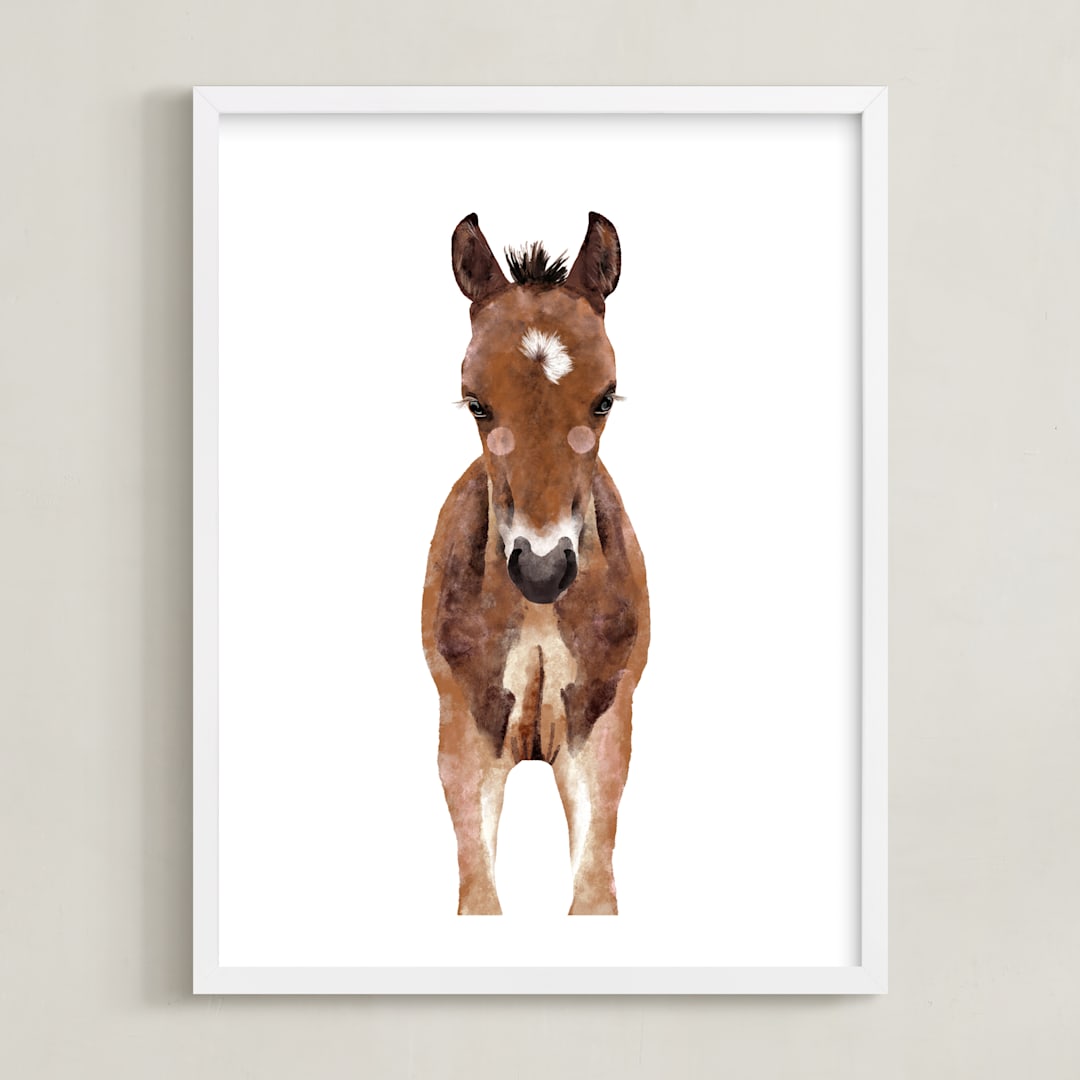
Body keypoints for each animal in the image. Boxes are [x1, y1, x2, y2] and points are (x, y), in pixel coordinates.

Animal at [421, 212, 650, 915]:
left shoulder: (601, 735)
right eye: (475, 401)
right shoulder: (464, 738)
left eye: (605, 398)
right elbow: (479, 900)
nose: (543, 570)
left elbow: (594, 896)